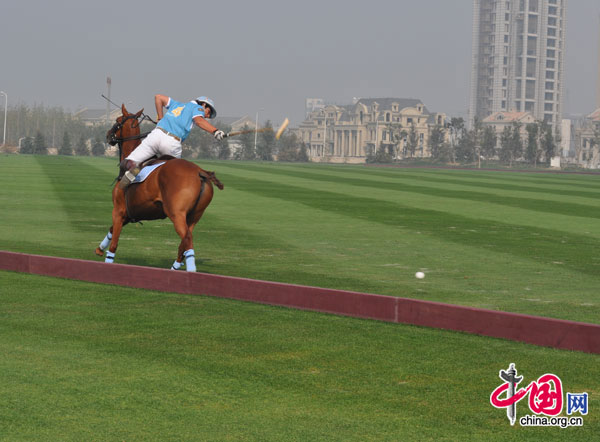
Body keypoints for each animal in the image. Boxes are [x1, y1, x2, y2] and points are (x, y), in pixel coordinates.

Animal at [96, 104, 223, 272]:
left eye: (117, 120)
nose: (108, 135)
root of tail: (200, 171)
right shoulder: (129, 214)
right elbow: (111, 231)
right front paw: (99, 249)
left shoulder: (118, 210)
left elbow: (114, 243)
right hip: (195, 215)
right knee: (184, 242)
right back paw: (175, 268)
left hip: (176, 213)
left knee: (187, 238)